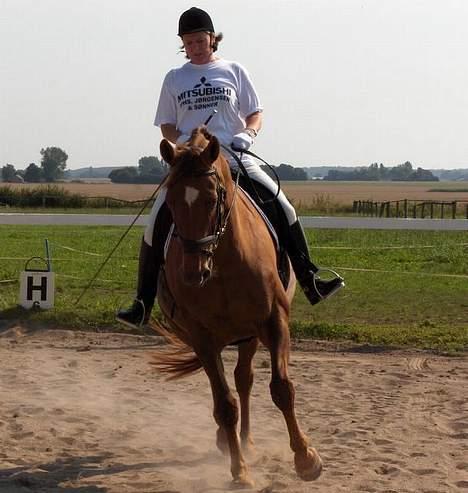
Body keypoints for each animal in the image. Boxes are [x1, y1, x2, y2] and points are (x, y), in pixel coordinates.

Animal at [154, 127, 322, 488]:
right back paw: (229, 441)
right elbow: (224, 404)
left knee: (244, 379)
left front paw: (306, 459)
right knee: (228, 389)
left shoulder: (273, 322)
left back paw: (246, 440)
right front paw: (239, 470)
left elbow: (281, 389)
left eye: (212, 198)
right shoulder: (202, 337)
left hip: (249, 336)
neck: (224, 261)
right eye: (171, 202)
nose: (193, 273)